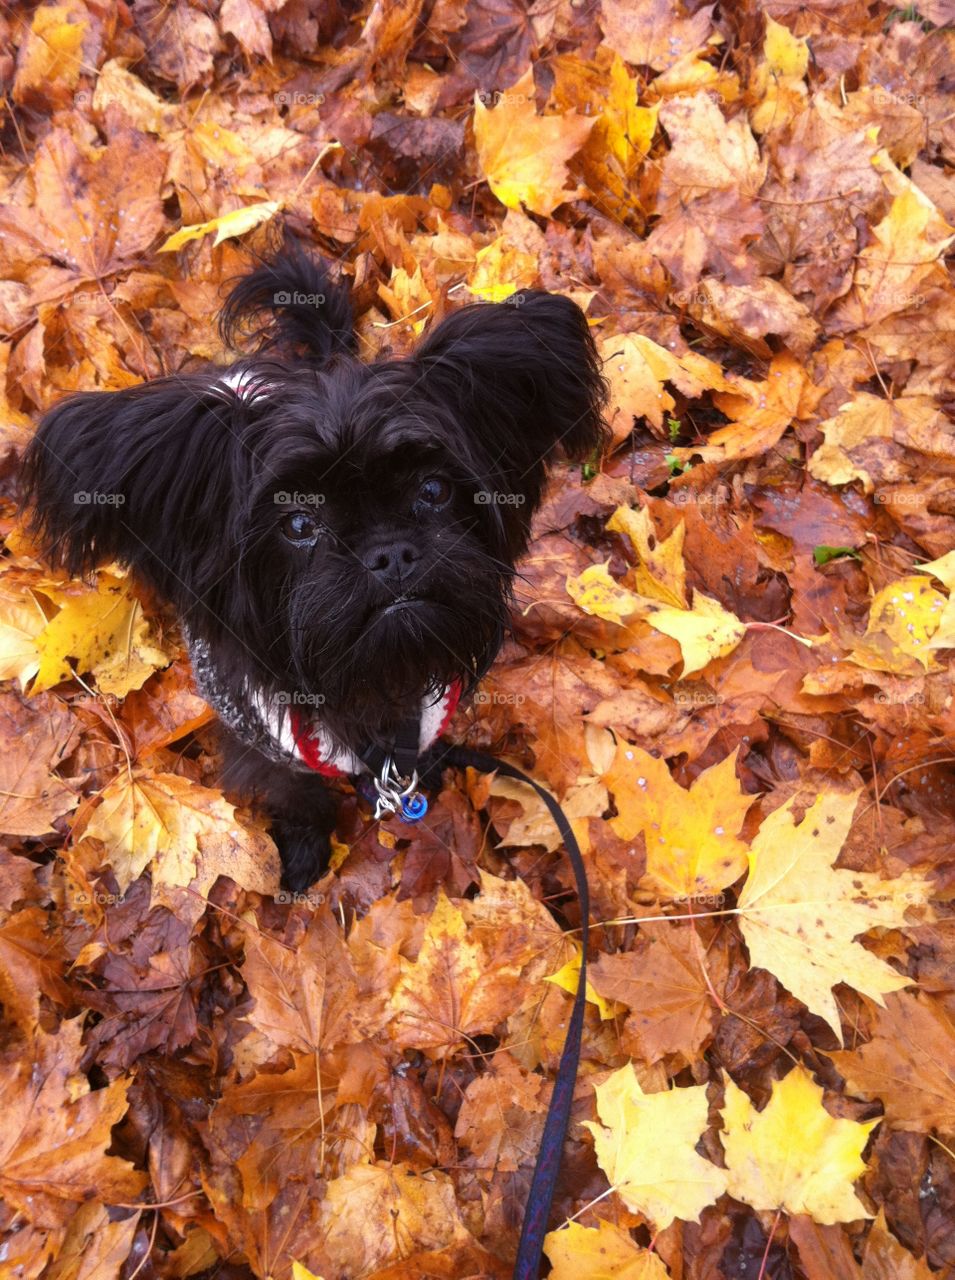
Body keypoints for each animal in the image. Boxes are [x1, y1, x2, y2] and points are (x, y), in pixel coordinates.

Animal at [20, 240, 601, 890]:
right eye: (299, 524)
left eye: (433, 490)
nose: (389, 553)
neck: (371, 692)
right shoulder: (269, 751)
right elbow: (299, 799)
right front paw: (302, 855)